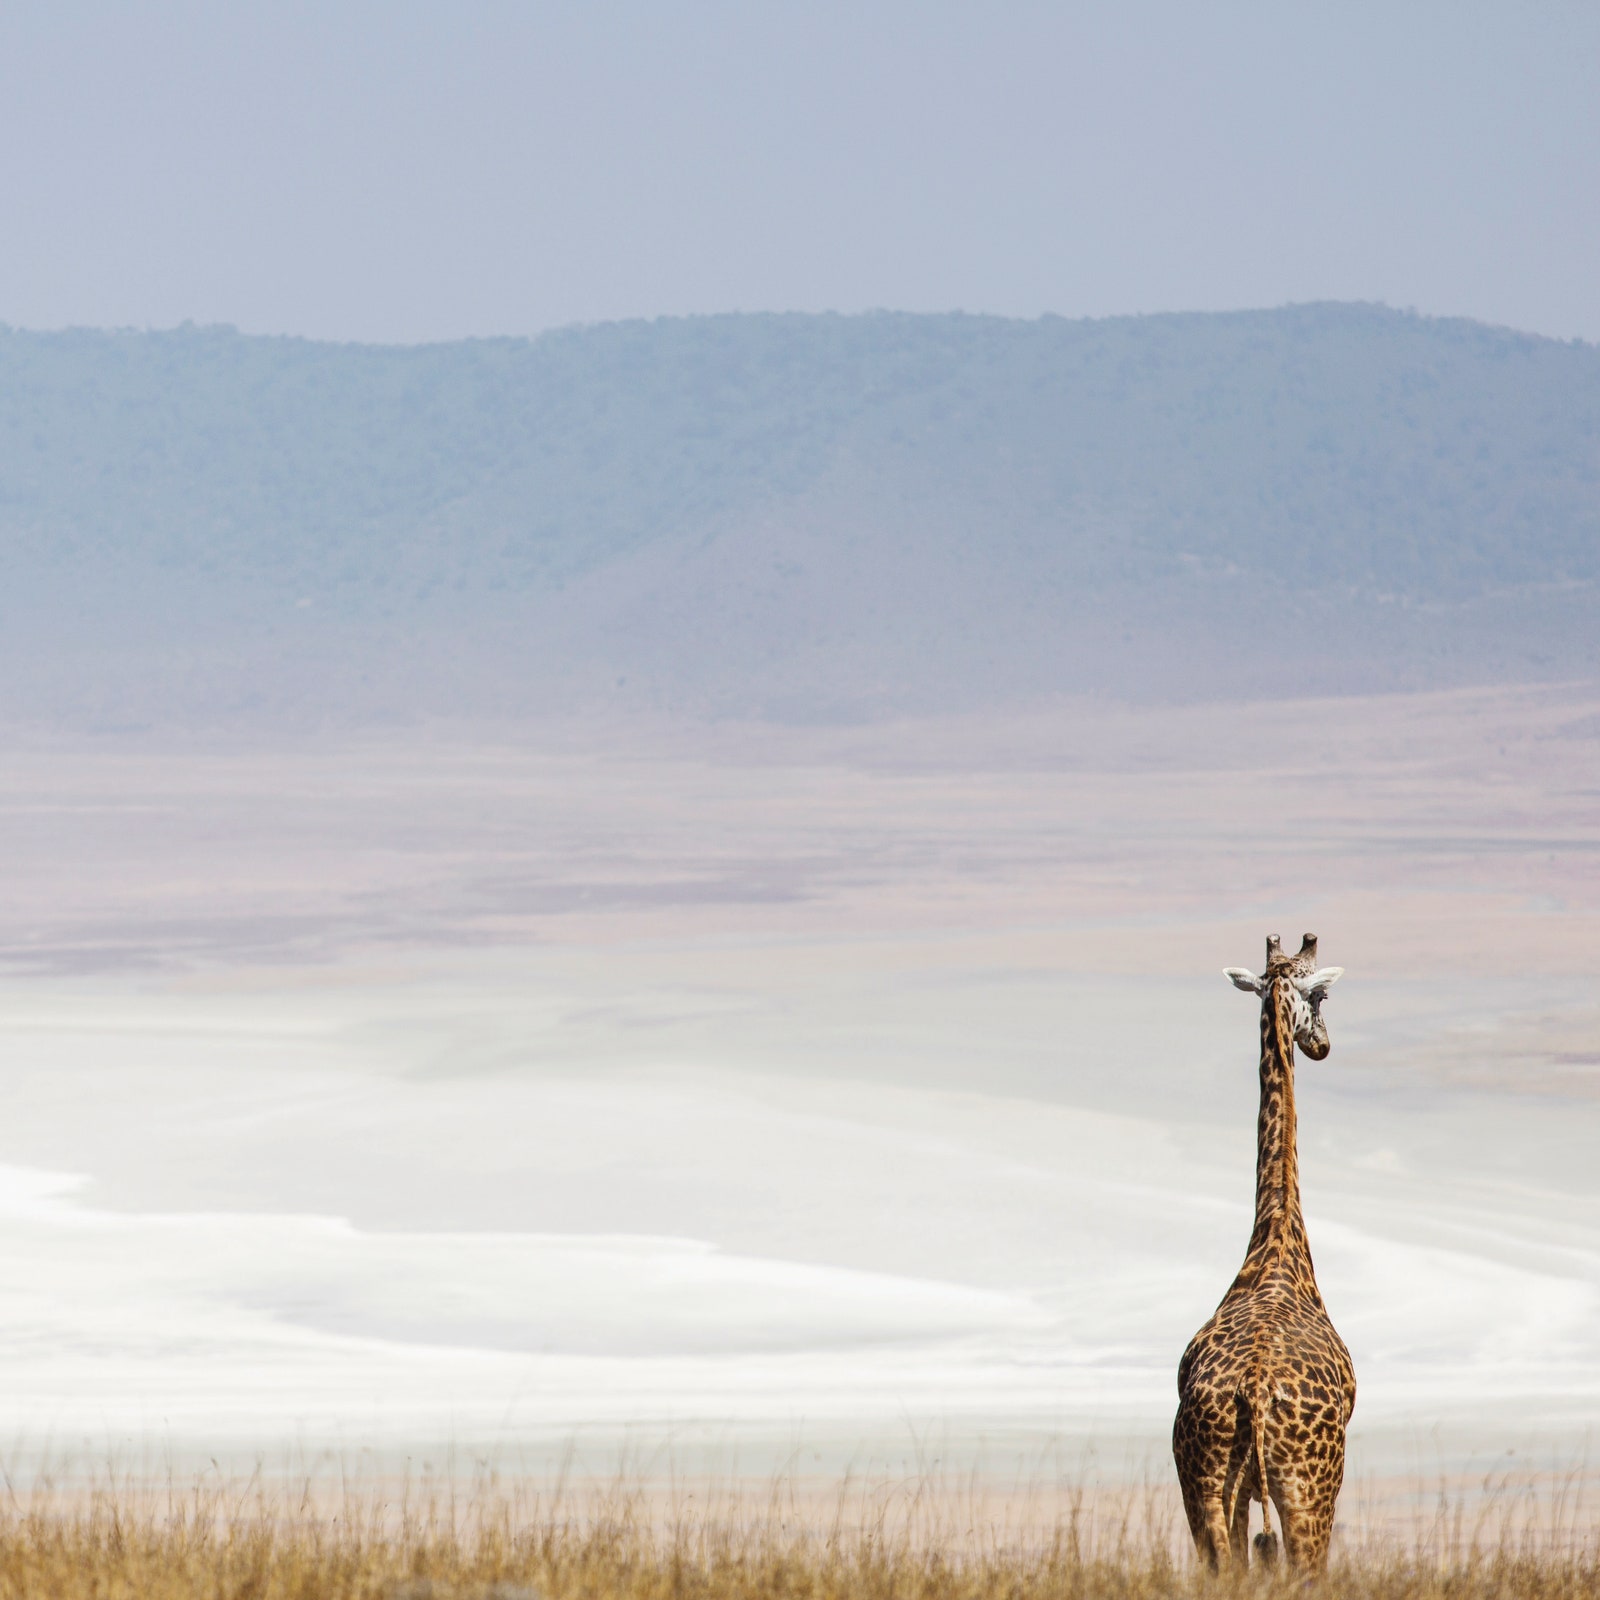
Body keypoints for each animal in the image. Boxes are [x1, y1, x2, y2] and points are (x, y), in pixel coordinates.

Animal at [1171, 934, 1356, 1568]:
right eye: (1320, 995)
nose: (1322, 1045)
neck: (1275, 1243)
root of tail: (1252, 1391)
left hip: (1203, 1482)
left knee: (1221, 1566)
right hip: (1310, 1489)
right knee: (1306, 1567)